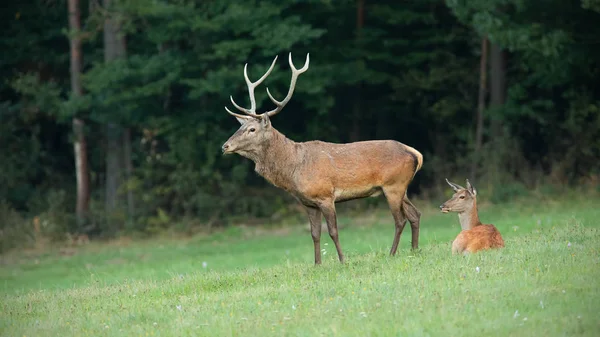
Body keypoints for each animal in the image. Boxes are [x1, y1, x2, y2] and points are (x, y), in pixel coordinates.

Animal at [220, 52, 422, 264]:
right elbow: (314, 234)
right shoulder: (308, 203)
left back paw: (392, 253)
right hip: (401, 188)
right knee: (415, 214)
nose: (225, 146)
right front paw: (317, 264)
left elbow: (333, 231)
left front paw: (342, 260)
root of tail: (415, 153)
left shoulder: (325, 195)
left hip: (393, 185)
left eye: (252, 129)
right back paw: (414, 249)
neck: (293, 170)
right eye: (240, 127)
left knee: (400, 220)